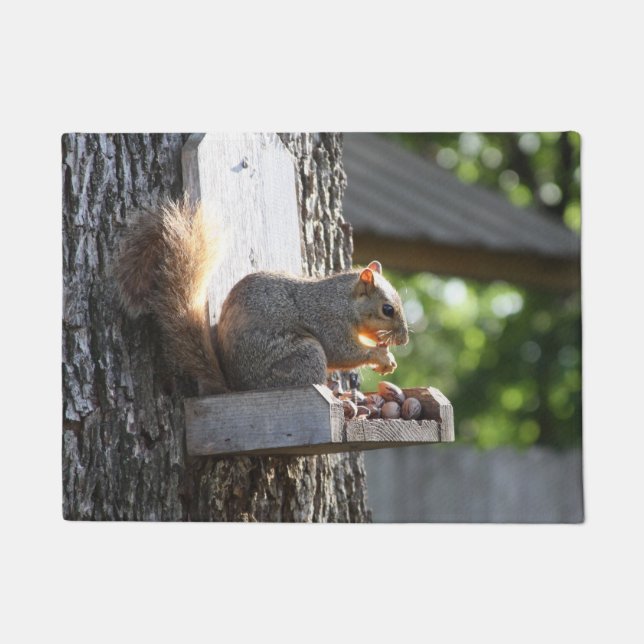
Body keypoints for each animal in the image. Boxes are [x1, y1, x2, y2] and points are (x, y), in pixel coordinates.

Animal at [114, 196, 409, 394]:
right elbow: (342, 352)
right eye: (388, 309)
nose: (404, 340)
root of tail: (237, 387)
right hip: (302, 356)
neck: (345, 301)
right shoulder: (328, 320)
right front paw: (379, 356)